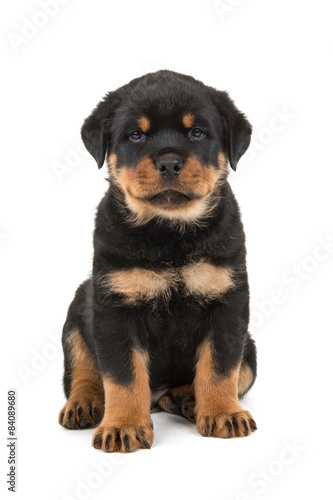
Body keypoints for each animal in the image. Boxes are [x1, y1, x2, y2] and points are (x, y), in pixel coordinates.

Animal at [58, 69, 256, 454]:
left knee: (240, 371)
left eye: (197, 132)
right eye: (136, 134)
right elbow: (123, 376)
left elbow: (221, 367)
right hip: (78, 308)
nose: (169, 162)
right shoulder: (114, 309)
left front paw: (223, 413)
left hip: (251, 344)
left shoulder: (230, 303)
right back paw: (85, 404)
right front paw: (122, 426)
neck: (169, 233)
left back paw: (187, 398)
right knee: (83, 370)